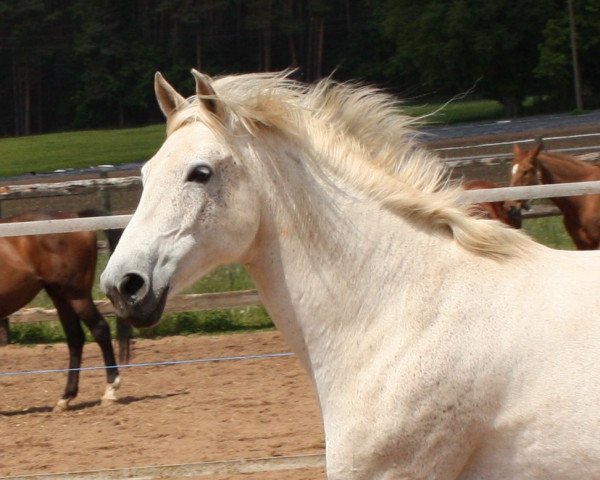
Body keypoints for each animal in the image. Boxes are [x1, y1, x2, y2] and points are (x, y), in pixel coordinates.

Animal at [0, 208, 126, 410]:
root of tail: (75, 216)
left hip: (76, 295)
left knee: (100, 329)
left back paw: (109, 391)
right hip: (60, 297)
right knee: (75, 338)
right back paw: (66, 397)